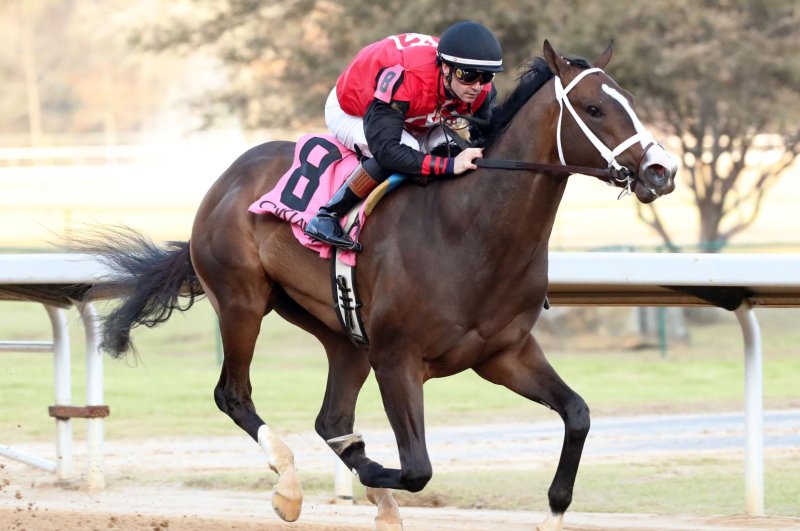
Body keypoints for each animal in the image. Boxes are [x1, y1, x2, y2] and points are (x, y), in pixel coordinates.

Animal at [86, 41, 676, 531]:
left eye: (628, 101)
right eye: (595, 109)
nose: (661, 170)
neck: (470, 229)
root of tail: (226, 180)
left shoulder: (504, 352)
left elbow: (577, 414)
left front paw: (552, 510)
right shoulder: (398, 358)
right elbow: (416, 469)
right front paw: (371, 478)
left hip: (341, 332)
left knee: (330, 417)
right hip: (241, 301)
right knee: (234, 394)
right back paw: (290, 486)